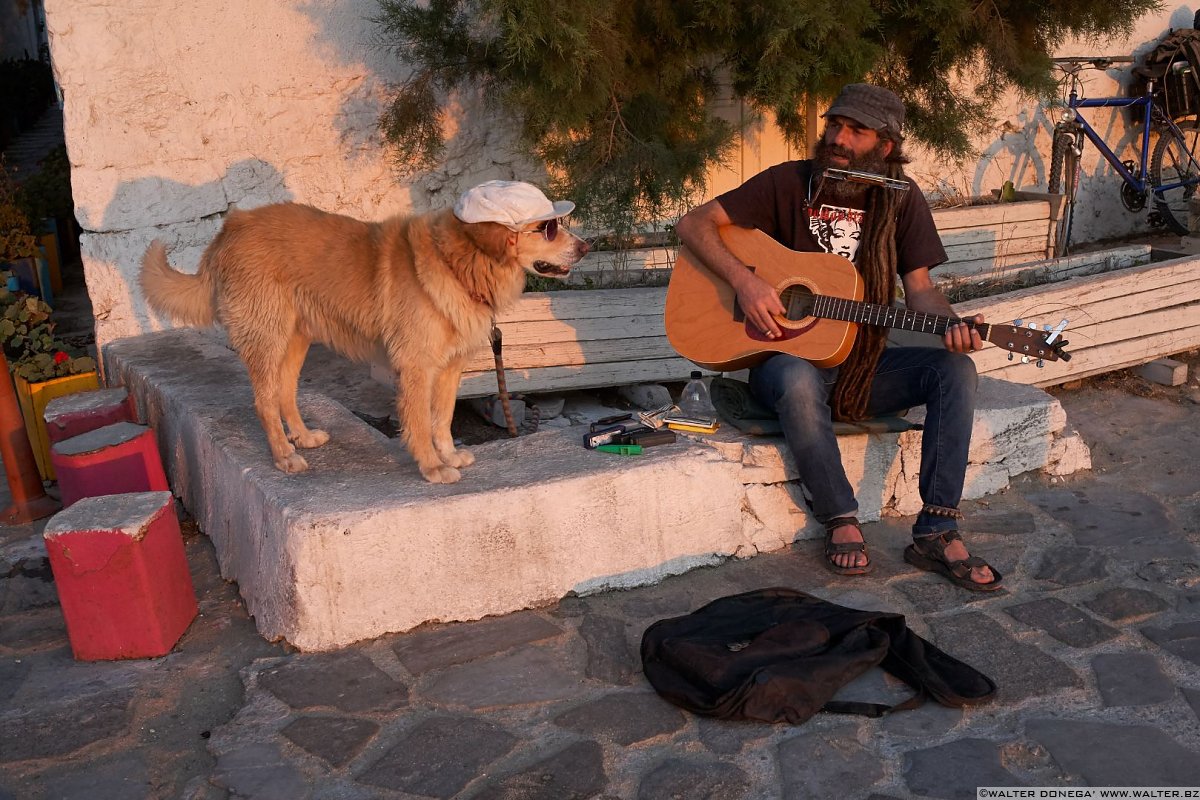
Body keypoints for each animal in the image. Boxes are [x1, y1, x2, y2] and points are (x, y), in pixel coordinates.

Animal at [138, 203, 588, 484]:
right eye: (548, 228)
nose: (587, 246)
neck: (459, 264)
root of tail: (229, 228)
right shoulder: (417, 368)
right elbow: (420, 423)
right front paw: (431, 468)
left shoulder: (449, 368)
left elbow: (442, 420)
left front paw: (447, 454)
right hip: (268, 338)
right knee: (264, 402)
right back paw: (284, 455)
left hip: (296, 339)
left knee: (285, 393)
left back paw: (301, 436)